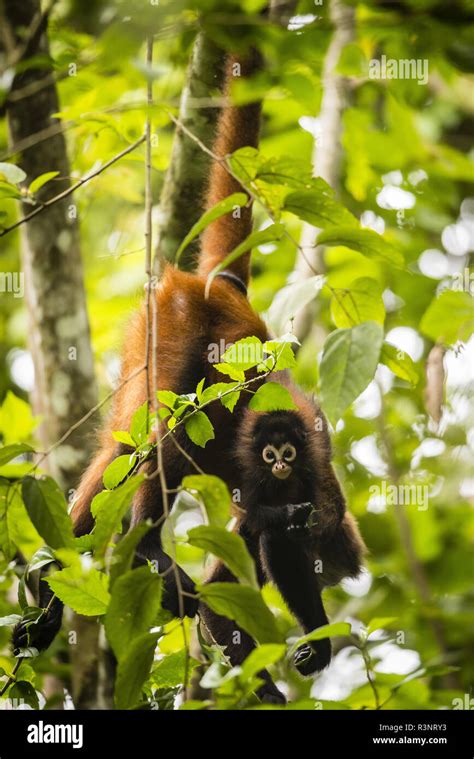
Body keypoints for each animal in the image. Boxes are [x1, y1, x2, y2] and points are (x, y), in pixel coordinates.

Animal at [12, 49, 364, 708]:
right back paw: (124, 554)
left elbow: (228, 590)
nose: (280, 463)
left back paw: (49, 585)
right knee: (161, 433)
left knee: (125, 448)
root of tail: (219, 291)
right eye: (321, 573)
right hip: (175, 327)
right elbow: (271, 533)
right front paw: (314, 638)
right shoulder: (308, 492)